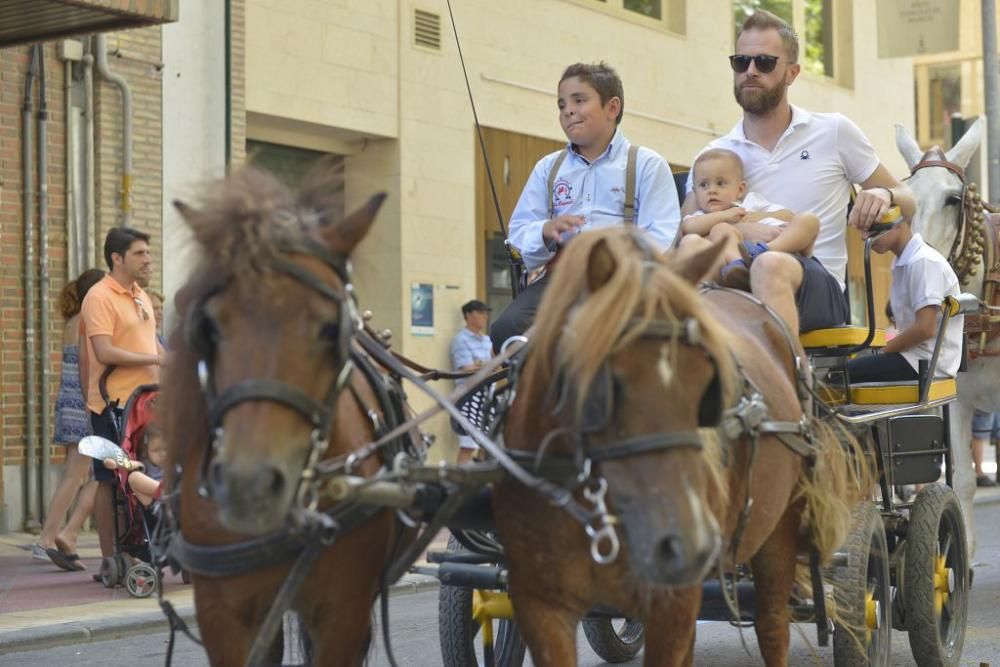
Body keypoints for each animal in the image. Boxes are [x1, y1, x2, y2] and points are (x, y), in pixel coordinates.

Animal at [494, 227, 868, 664]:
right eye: (606, 383)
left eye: (706, 379)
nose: (686, 542)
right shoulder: (539, 602)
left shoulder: (672, 602)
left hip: (780, 526)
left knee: (773, 624)